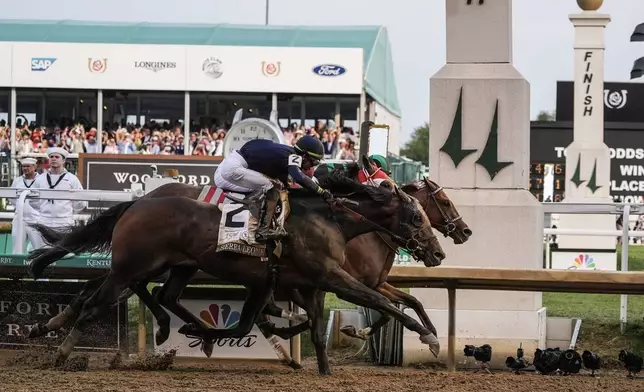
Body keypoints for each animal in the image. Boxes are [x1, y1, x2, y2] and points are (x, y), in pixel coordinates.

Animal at [26, 155, 468, 374]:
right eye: (424, 214)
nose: (445, 249)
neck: (335, 220)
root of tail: (138, 202)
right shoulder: (333, 277)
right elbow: (385, 305)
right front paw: (428, 339)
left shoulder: (305, 283)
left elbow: (313, 323)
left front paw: (321, 364)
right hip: (134, 266)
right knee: (101, 300)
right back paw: (62, 347)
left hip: (173, 266)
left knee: (155, 295)